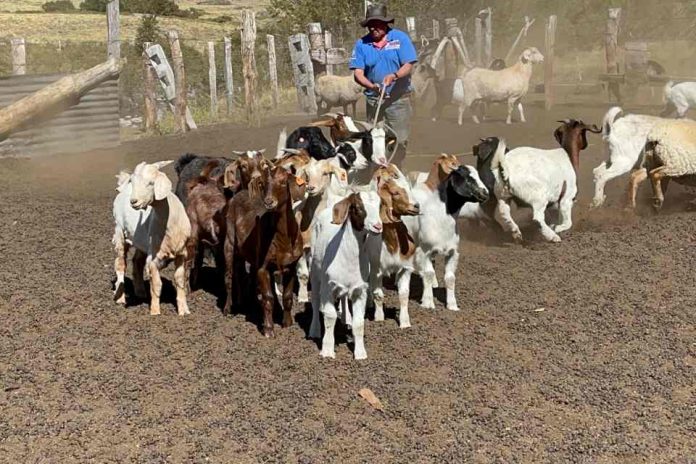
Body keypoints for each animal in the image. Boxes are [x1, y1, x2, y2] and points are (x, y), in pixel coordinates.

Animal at [113, 161, 192, 318]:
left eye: (151, 183)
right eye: (133, 182)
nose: (134, 202)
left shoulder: (181, 254)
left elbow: (180, 280)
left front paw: (184, 310)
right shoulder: (154, 257)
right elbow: (157, 284)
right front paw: (155, 311)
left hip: (142, 242)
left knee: (136, 261)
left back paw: (140, 292)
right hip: (119, 232)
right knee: (120, 263)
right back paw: (120, 297)